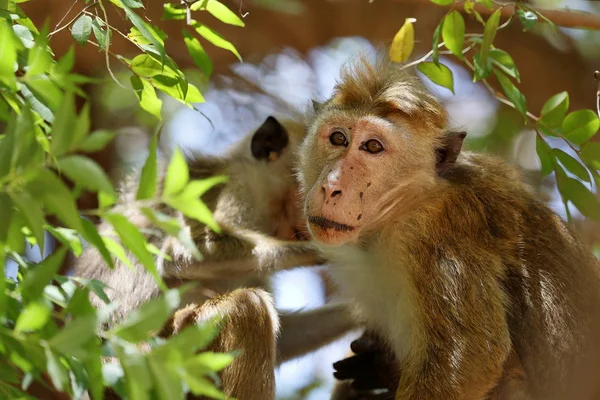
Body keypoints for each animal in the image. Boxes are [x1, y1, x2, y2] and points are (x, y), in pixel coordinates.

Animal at [74, 115, 356, 400]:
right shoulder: (235, 193)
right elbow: (183, 254)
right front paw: (329, 251)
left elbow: (287, 339)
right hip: (161, 354)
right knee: (248, 304)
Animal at [294, 54, 600, 400]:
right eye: (338, 138)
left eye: (372, 147)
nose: (332, 186)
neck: (398, 209)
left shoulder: (434, 231)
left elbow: (469, 362)